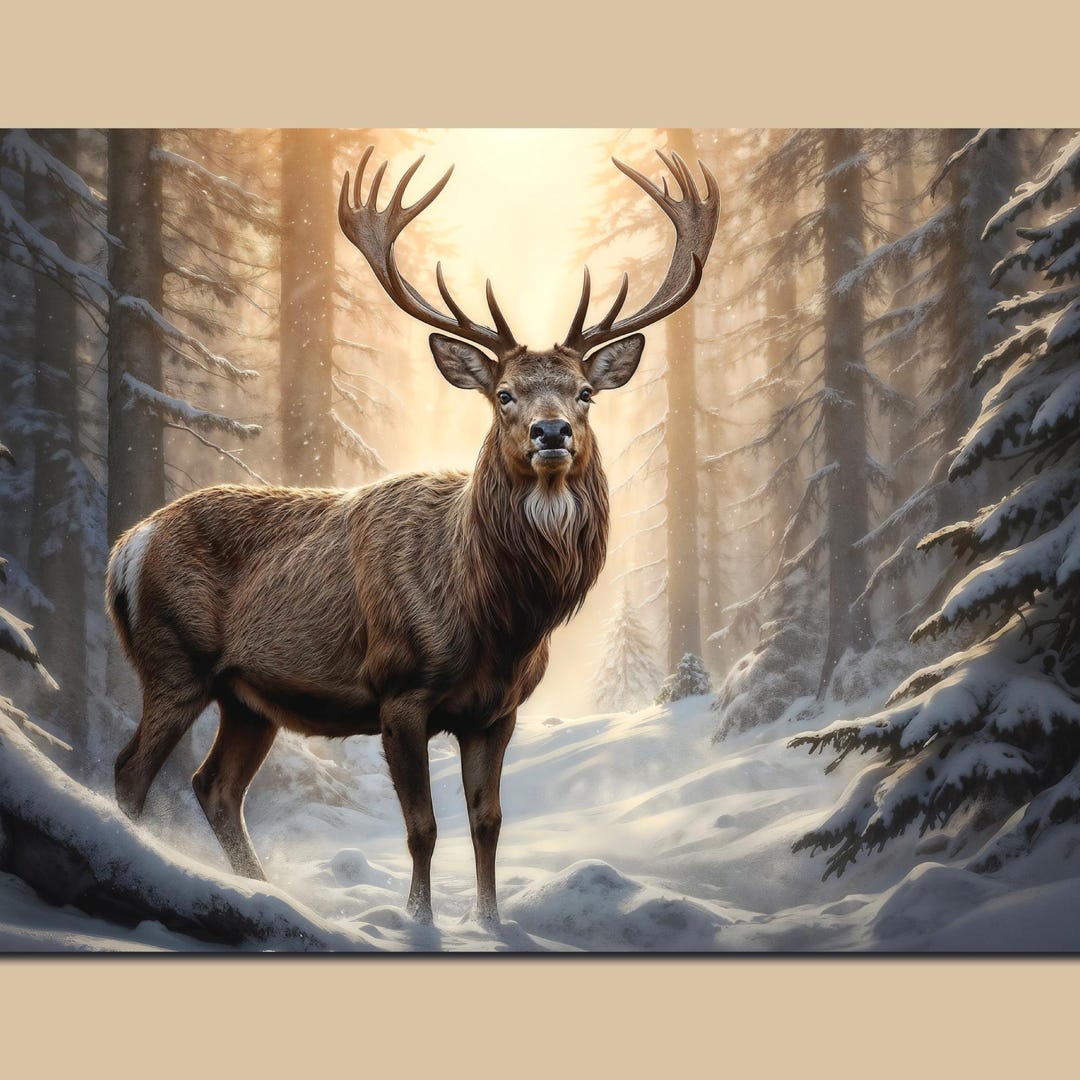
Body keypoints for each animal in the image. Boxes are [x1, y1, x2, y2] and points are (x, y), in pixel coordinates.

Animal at [106, 146, 719, 926]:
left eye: (585, 393)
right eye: (503, 395)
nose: (552, 431)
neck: (497, 618)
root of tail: (126, 547)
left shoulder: (498, 710)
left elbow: (488, 822)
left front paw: (491, 922)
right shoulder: (398, 690)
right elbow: (422, 828)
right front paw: (420, 920)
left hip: (247, 695)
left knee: (216, 788)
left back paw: (266, 892)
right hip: (173, 660)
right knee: (131, 772)